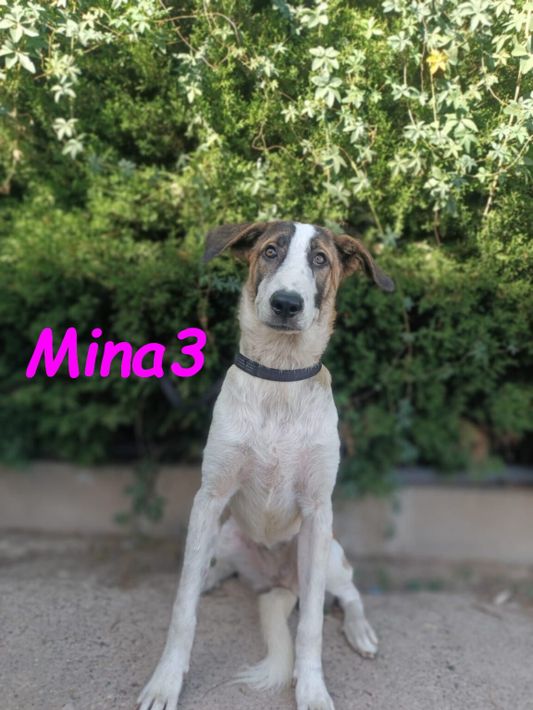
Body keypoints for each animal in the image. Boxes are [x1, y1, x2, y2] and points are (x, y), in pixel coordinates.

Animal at [138, 221, 395, 710]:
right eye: (271, 251)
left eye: (320, 259)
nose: (286, 303)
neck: (280, 374)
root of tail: (277, 581)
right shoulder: (209, 498)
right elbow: (183, 608)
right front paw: (165, 681)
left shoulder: (318, 510)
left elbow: (311, 624)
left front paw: (312, 689)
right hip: (225, 532)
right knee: (216, 567)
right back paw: (210, 577)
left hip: (330, 552)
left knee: (348, 592)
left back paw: (360, 630)